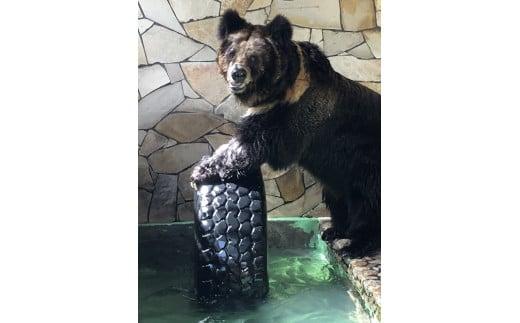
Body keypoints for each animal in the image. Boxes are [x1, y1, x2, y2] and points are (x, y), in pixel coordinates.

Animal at [193, 10, 380, 258]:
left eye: (254, 57)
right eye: (232, 52)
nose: (237, 74)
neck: (278, 91)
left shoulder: (295, 113)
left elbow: (252, 141)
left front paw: (202, 170)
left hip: (365, 164)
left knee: (367, 202)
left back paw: (355, 244)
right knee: (337, 197)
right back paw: (334, 231)